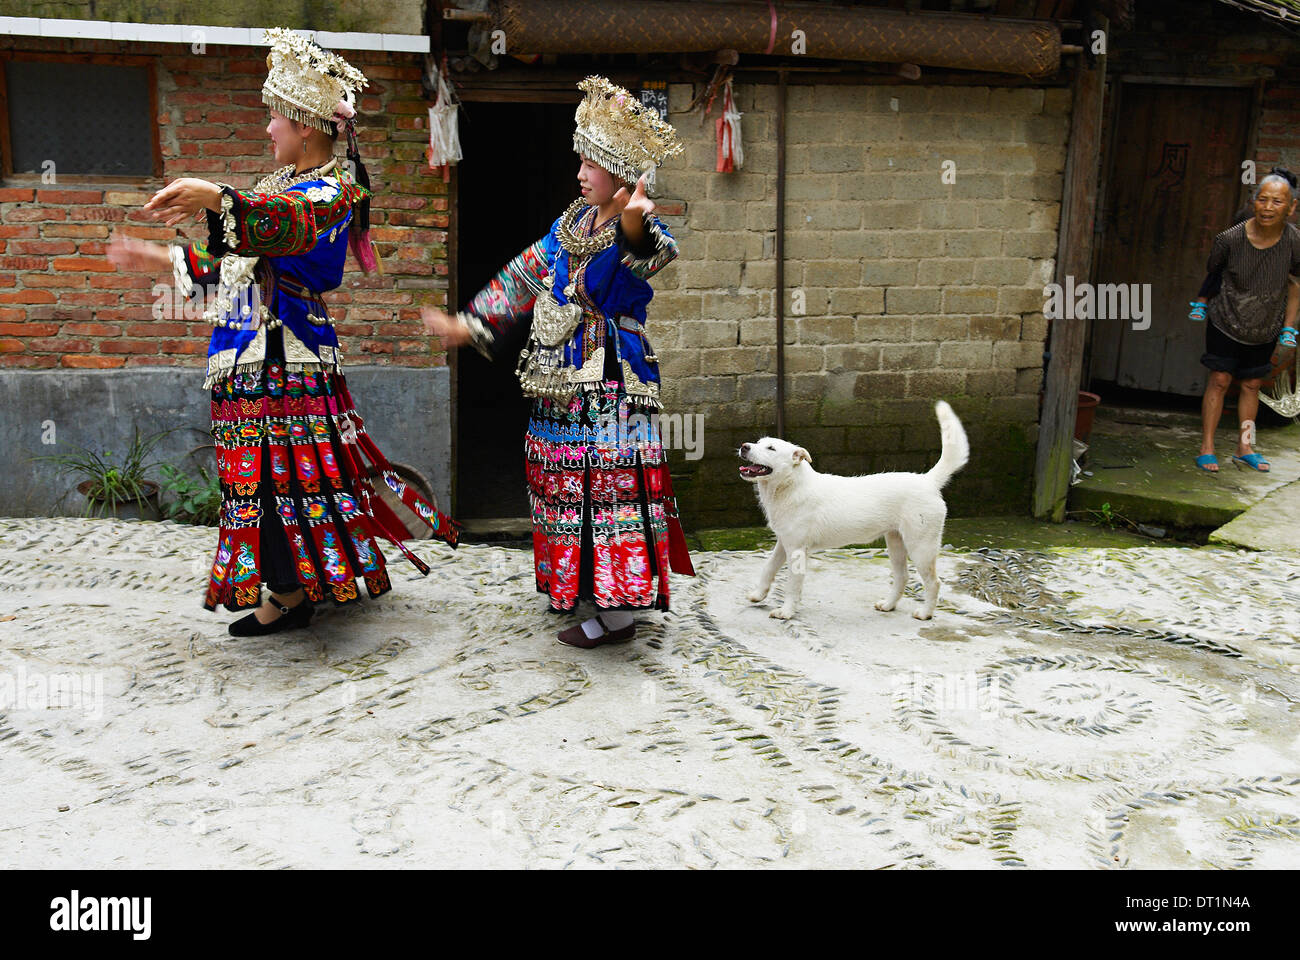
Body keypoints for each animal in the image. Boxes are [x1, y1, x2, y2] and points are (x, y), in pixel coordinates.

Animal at [738, 398, 972, 616]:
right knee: (902, 577)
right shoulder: (783, 543)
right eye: (758, 442)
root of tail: (928, 480)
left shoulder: (796, 550)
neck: (790, 486)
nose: (744, 446)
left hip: (920, 547)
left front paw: (786, 612)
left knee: (933, 582)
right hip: (895, 542)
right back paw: (888, 605)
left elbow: (792, 585)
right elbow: (768, 568)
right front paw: (758, 595)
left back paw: (925, 614)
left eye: (771, 448)